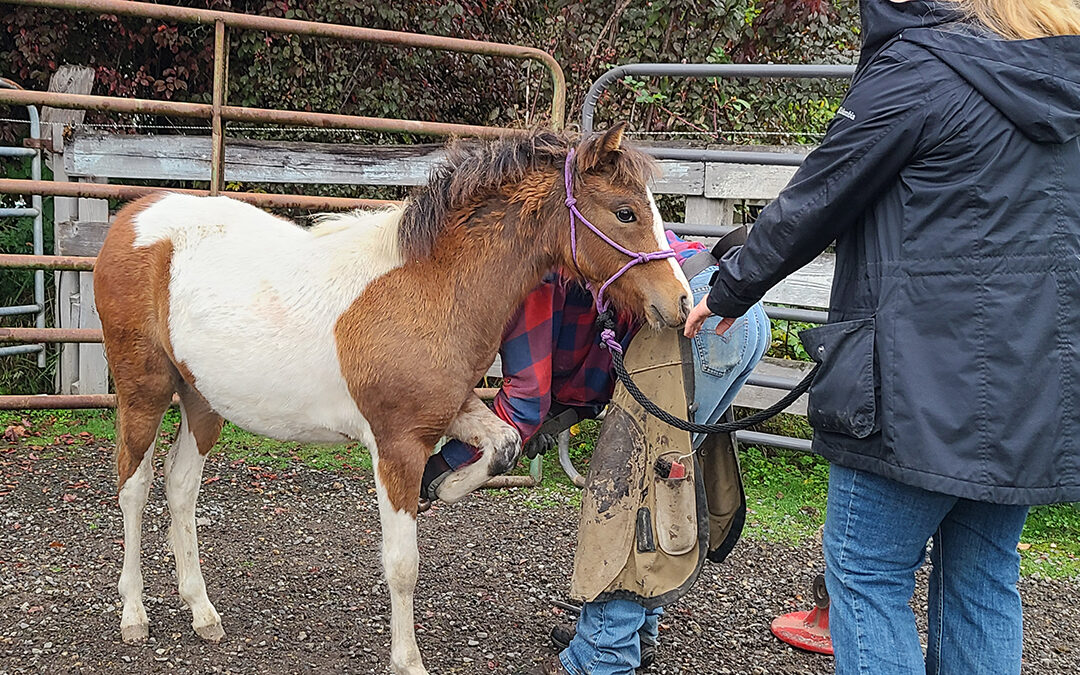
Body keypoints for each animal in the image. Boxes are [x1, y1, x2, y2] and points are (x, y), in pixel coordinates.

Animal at [92, 123, 691, 669]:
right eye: (625, 213)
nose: (682, 303)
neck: (432, 286)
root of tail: (132, 216)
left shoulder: (450, 414)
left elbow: (503, 446)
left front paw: (446, 485)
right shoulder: (397, 445)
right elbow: (402, 564)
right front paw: (409, 660)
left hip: (202, 401)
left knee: (180, 486)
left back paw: (202, 612)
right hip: (144, 392)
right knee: (134, 485)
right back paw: (134, 615)